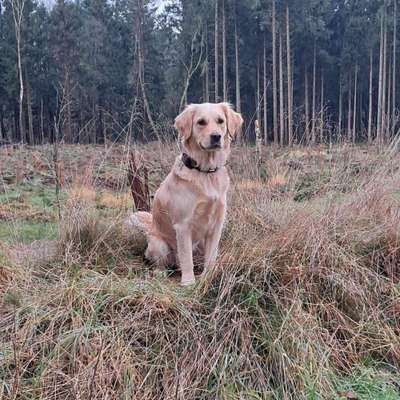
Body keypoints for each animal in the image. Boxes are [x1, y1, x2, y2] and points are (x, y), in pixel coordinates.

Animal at [130, 101, 244, 286]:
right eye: (201, 122)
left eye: (221, 121)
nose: (216, 136)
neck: (205, 172)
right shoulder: (183, 225)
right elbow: (186, 258)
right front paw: (189, 283)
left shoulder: (216, 225)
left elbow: (211, 257)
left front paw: (208, 276)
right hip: (159, 244)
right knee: (163, 263)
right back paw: (161, 272)